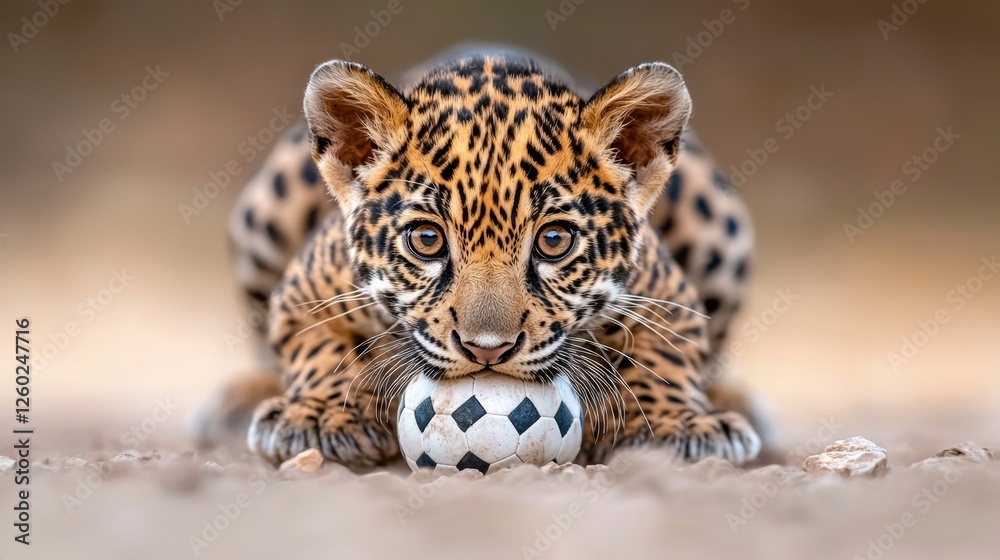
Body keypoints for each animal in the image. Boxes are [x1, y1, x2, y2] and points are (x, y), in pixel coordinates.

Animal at [195, 48, 772, 469]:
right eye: (426, 240)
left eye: (554, 240)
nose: (486, 350)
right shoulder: (306, 290)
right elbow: (321, 346)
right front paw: (320, 418)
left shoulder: (666, 297)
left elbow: (665, 359)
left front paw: (679, 426)